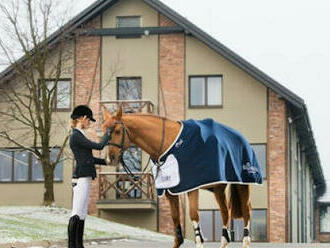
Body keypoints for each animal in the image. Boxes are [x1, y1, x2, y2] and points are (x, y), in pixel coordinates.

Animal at [102, 107, 254, 248]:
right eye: (104, 130)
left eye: (117, 131)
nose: (110, 159)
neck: (167, 143)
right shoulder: (170, 190)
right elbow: (176, 221)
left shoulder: (192, 187)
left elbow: (193, 216)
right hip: (218, 188)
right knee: (225, 212)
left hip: (242, 184)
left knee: (246, 211)